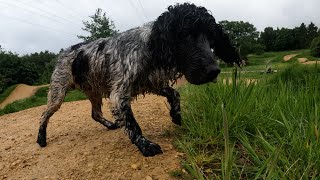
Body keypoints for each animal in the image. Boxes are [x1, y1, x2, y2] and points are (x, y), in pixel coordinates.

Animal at [37, 3, 240, 157]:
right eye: (186, 35)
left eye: (211, 38)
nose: (214, 71)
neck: (149, 48)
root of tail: (64, 51)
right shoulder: (119, 94)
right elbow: (133, 124)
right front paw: (145, 145)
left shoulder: (152, 83)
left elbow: (175, 94)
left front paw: (176, 115)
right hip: (58, 92)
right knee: (44, 115)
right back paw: (41, 139)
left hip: (93, 91)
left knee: (95, 113)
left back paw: (110, 125)